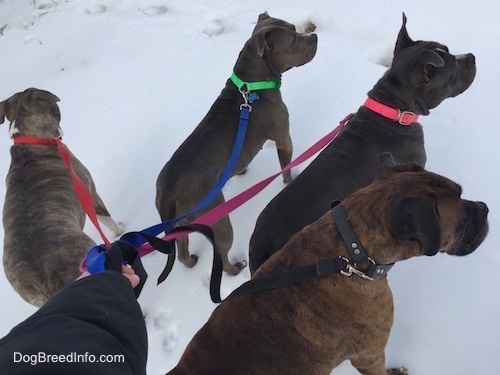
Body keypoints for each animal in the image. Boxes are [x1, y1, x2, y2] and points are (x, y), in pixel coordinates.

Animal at [156, 12, 316, 276]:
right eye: (292, 40)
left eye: (295, 28)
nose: (314, 37)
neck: (251, 84)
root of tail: (168, 192)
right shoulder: (284, 138)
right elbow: (286, 167)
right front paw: (289, 181)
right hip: (219, 220)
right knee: (221, 252)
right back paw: (235, 268)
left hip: (182, 224)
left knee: (181, 252)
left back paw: (191, 261)